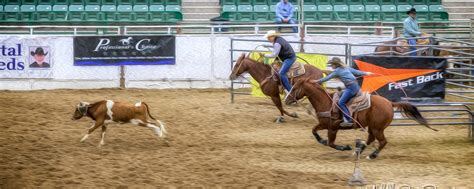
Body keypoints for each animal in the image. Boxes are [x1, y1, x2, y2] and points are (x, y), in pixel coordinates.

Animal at [286, 78, 436, 159]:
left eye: (294, 88)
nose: (287, 100)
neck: (326, 102)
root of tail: (389, 103)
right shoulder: (324, 124)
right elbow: (314, 131)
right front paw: (321, 140)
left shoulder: (333, 128)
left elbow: (331, 143)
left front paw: (344, 147)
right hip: (372, 127)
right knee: (370, 140)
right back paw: (358, 151)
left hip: (377, 128)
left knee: (382, 141)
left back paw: (371, 155)